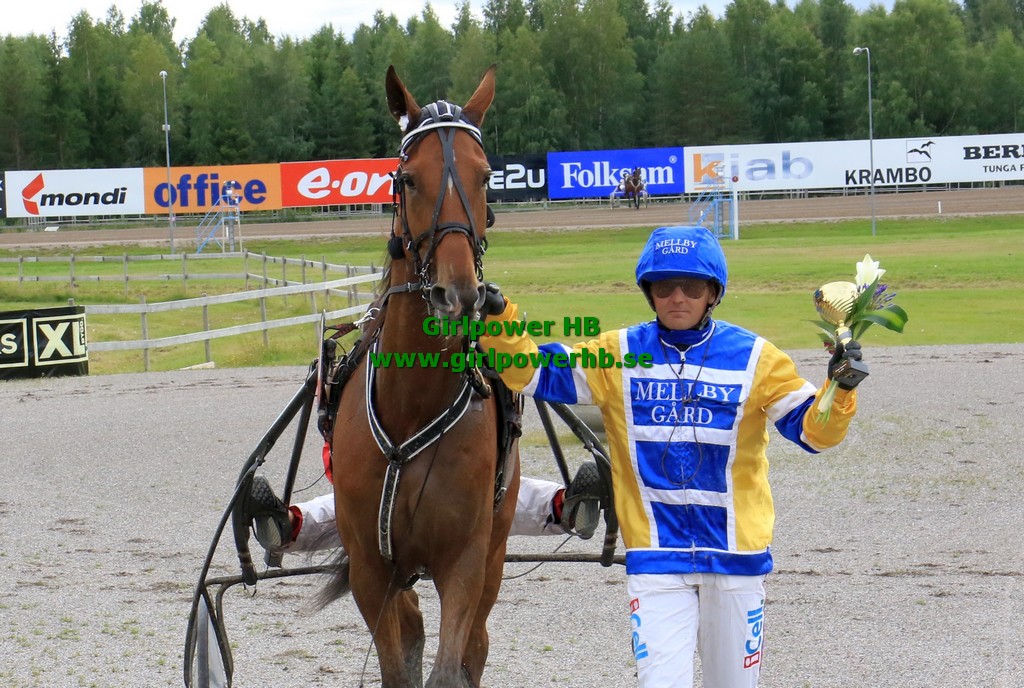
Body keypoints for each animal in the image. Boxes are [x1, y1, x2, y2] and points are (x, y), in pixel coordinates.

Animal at [319, 64, 521, 688]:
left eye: (486, 177)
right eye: (408, 179)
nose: (458, 294)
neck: (414, 405)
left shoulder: (465, 560)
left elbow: (451, 663)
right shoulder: (370, 568)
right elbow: (398, 663)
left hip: (496, 544)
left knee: (476, 641)